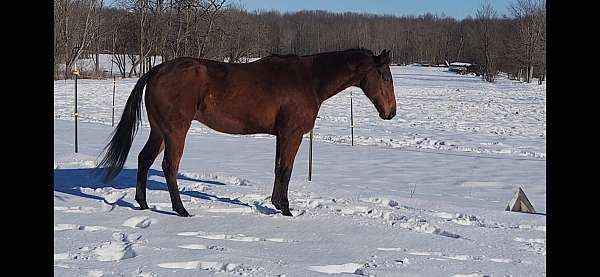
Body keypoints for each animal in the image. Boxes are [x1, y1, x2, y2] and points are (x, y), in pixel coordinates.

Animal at [97, 48, 398, 216]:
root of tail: (159, 68)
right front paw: (285, 208)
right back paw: (181, 210)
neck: (308, 80)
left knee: (143, 160)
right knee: (169, 167)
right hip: (175, 131)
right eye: (385, 76)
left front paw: (276, 203)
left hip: (159, 131)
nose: (391, 112)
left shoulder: (282, 135)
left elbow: (278, 168)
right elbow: (286, 169)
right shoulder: (292, 134)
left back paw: (144, 204)